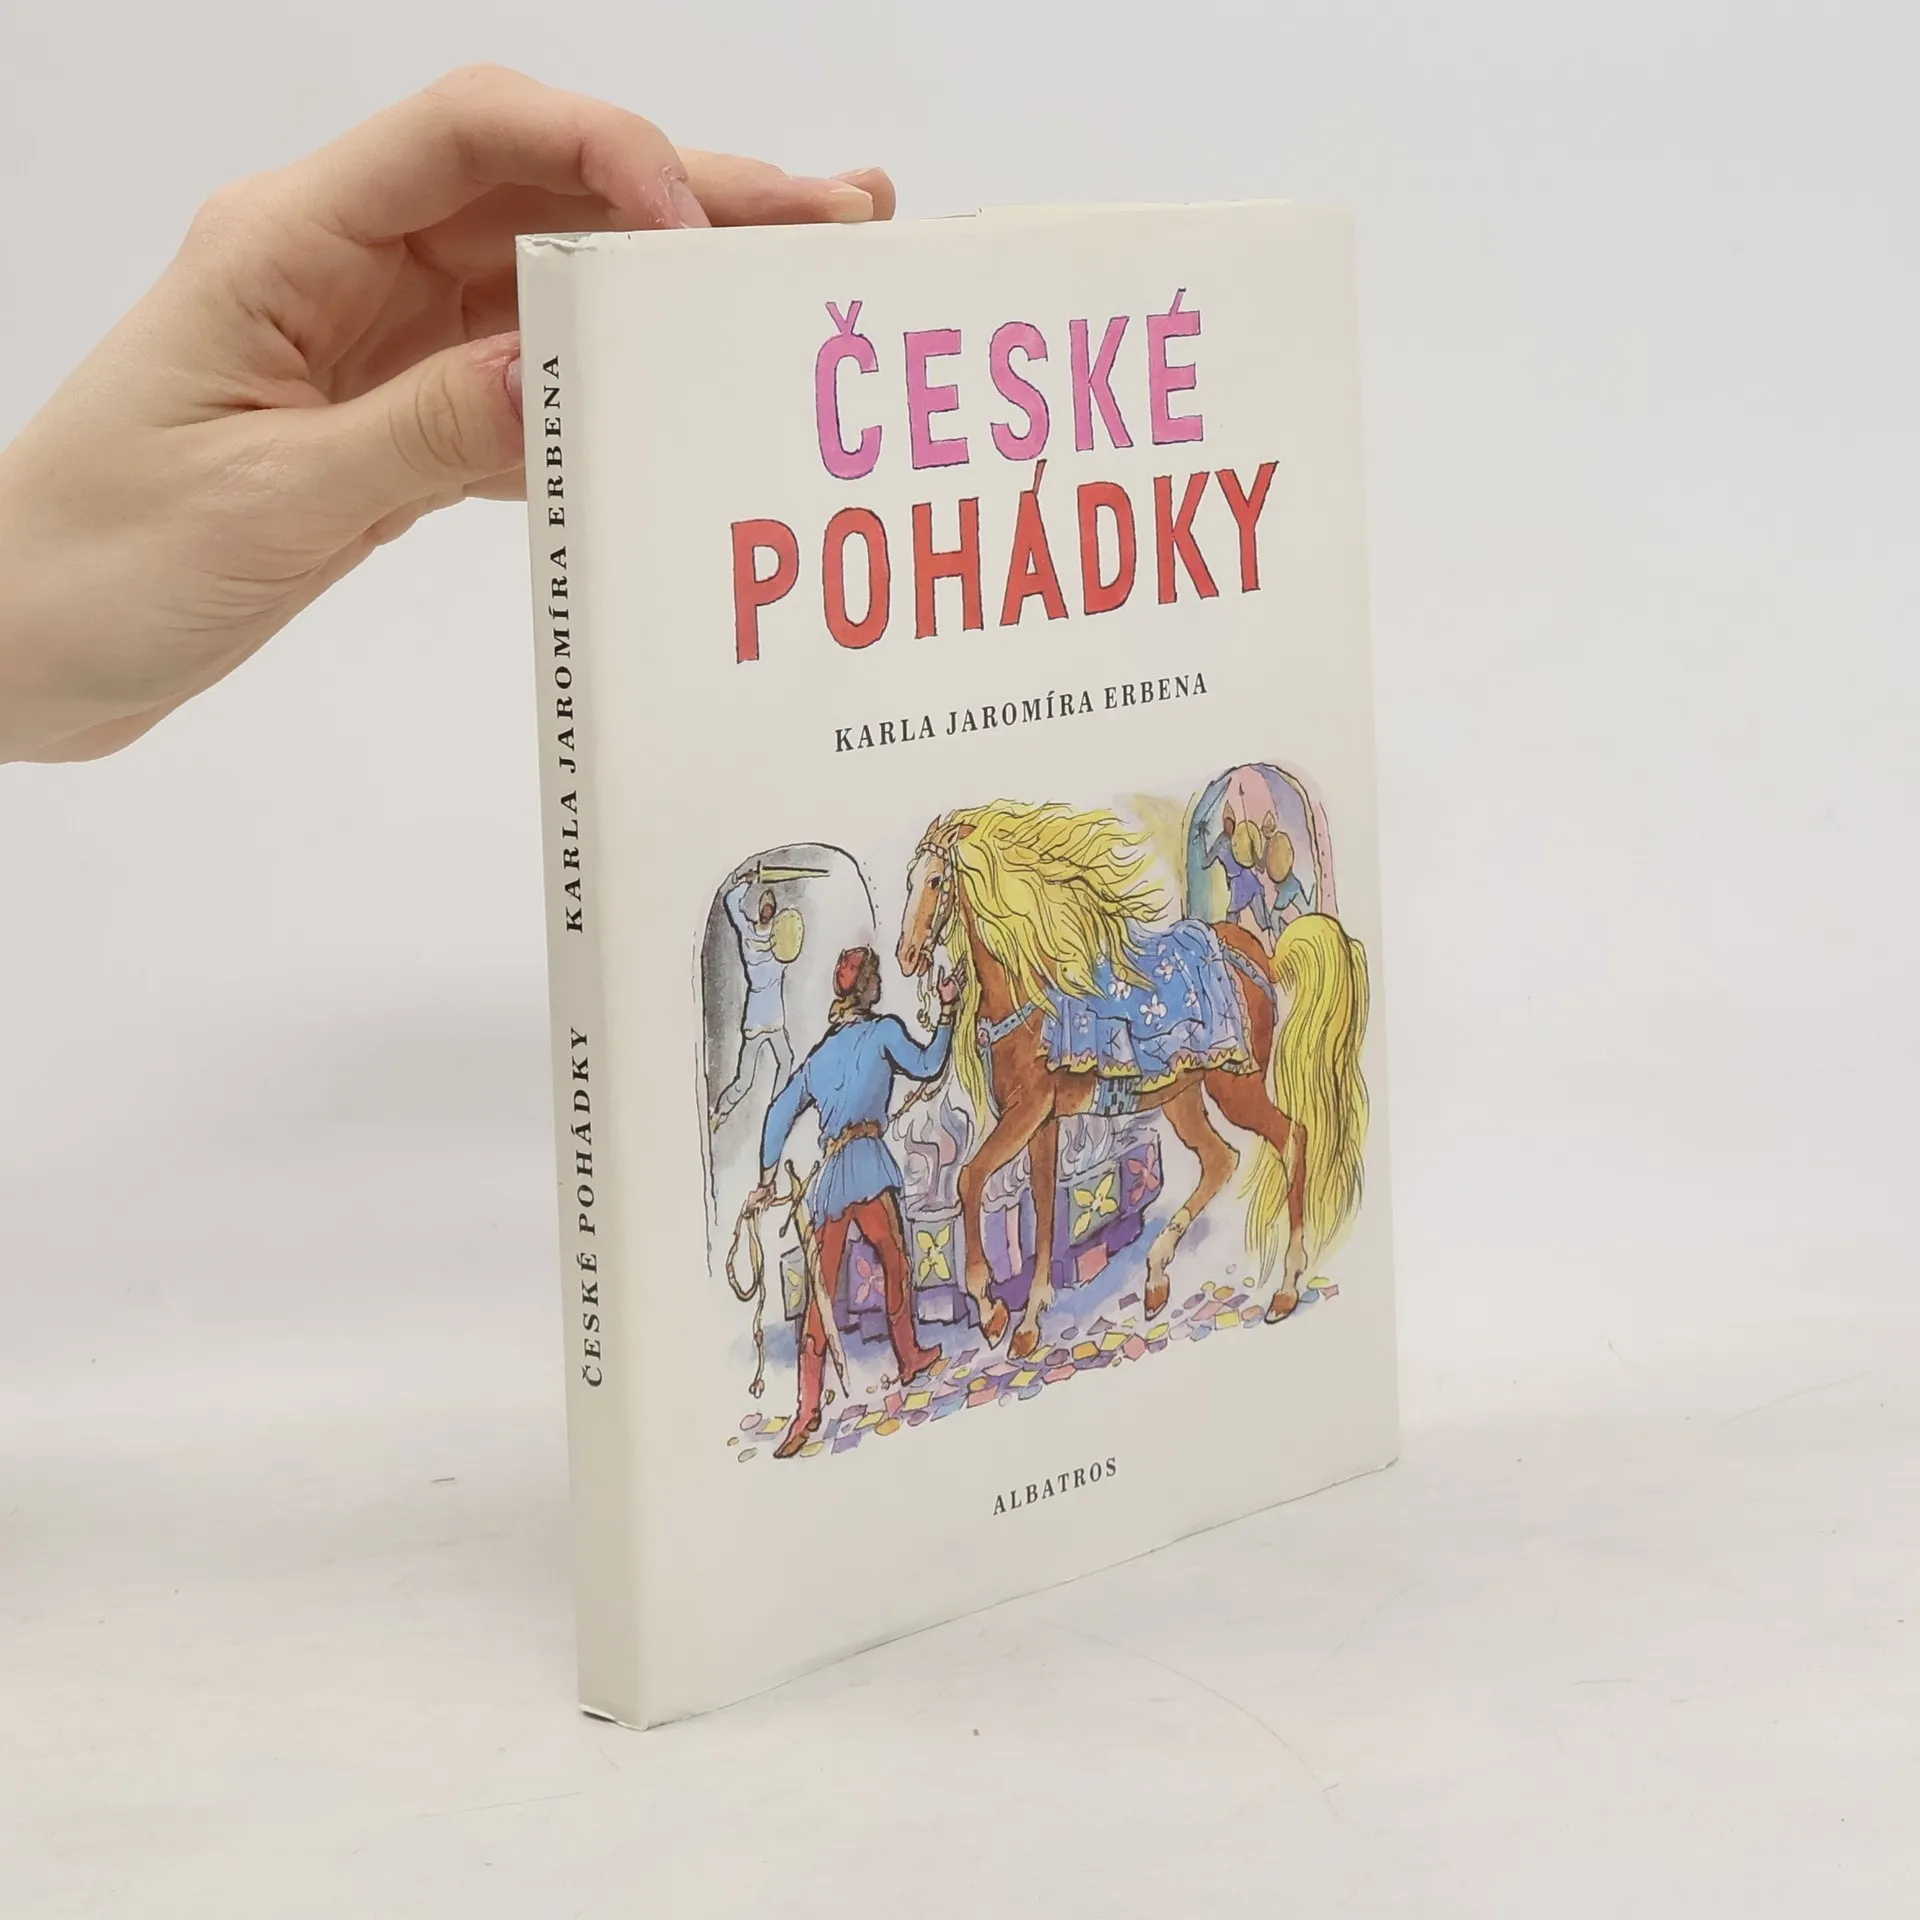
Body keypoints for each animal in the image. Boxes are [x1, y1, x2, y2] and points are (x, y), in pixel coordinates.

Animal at [895, 799, 1370, 1363]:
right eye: (909, 880)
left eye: (935, 880)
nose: (905, 955)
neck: (1030, 989)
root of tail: (1260, 957)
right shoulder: (1043, 1122)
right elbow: (1043, 1212)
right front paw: (1027, 1323)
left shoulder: (1027, 1112)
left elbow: (970, 1179)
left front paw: (992, 1313)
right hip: (1183, 1096)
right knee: (1220, 1159)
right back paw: (1157, 1279)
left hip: (1235, 1086)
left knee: (1292, 1137)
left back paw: (1287, 1288)